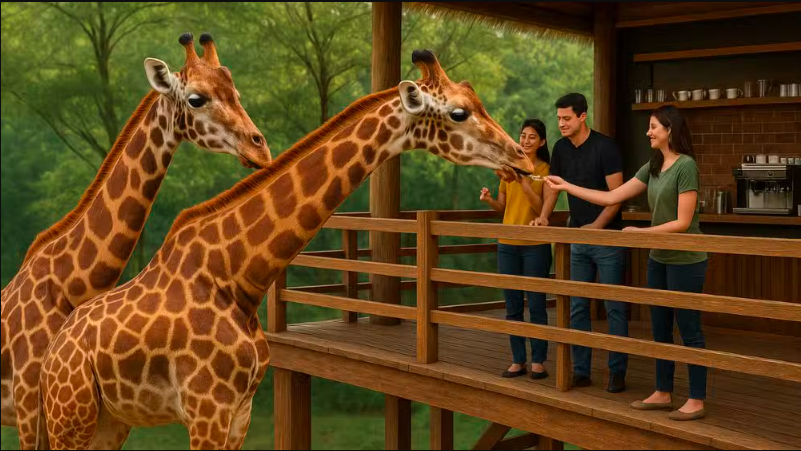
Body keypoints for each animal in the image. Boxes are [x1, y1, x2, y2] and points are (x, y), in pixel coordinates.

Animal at [37, 49, 536, 450]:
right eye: (458, 112)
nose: (522, 157)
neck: (237, 278)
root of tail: (51, 354)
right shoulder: (206, 409)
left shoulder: (239, 412)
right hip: (71, 416)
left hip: (109, 420)